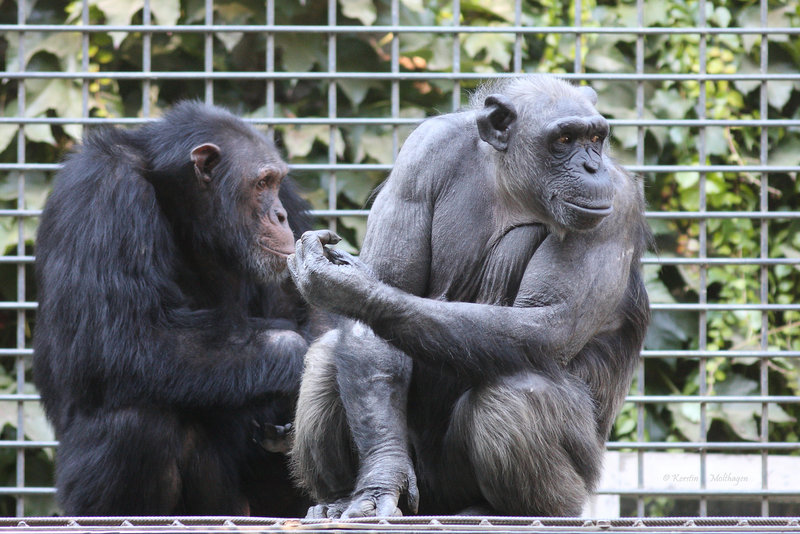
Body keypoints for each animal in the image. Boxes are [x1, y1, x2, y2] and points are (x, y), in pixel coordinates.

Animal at [33, 101, 322, 520]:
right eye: (261, 183)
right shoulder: (102, 194)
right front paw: (299, 353)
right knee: (138, 422)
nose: (279, 215)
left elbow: (314, 310)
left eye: (276, 182)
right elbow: (123, 339)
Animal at [288, 76, 648, 520]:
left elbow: (550, 323)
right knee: (327, 356)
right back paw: (336, 499)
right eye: (565, 139)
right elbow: (369, 331)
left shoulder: (616, 207)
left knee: (514, 394)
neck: (511, 181)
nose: (592, 166)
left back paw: (509, 511)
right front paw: (382, 478)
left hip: (570, 483)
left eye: (595, 138)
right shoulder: (420, 158)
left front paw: (353, 289)